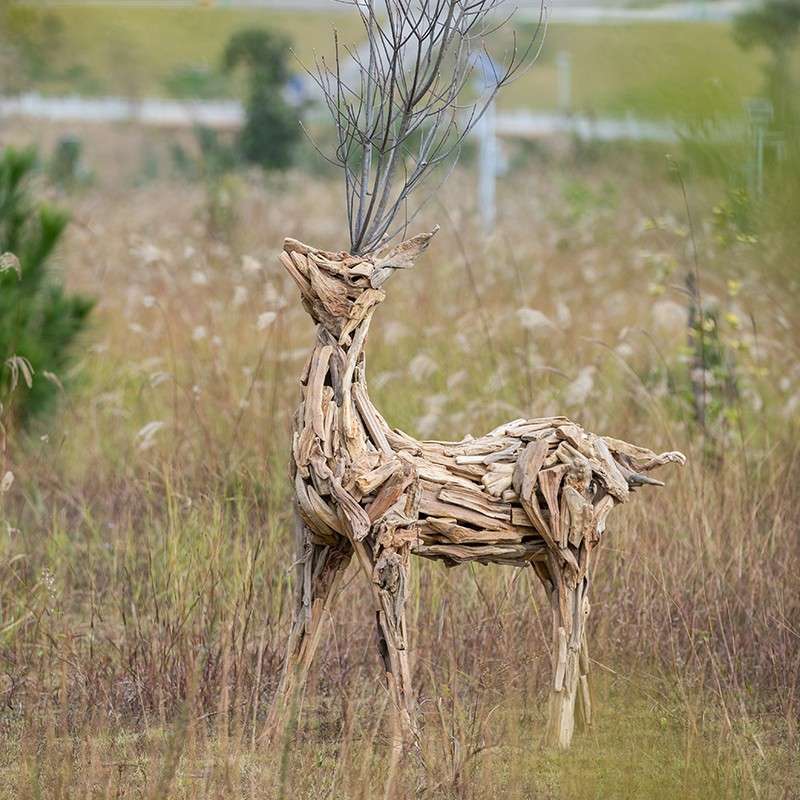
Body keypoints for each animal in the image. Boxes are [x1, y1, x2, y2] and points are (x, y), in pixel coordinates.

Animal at [265, 0, 685, 772]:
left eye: (354, 273)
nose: (291, 249)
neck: (342, 439)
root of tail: (619, 456)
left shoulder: (390, 540)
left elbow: (394, 652)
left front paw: (402, 754)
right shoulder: (317, 539)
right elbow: (298, 645)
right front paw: (265, 741)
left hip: (571, 538)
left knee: (574, 623)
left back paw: (560, 736)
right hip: (545, 553)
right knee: (580, 624)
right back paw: (588, 730)